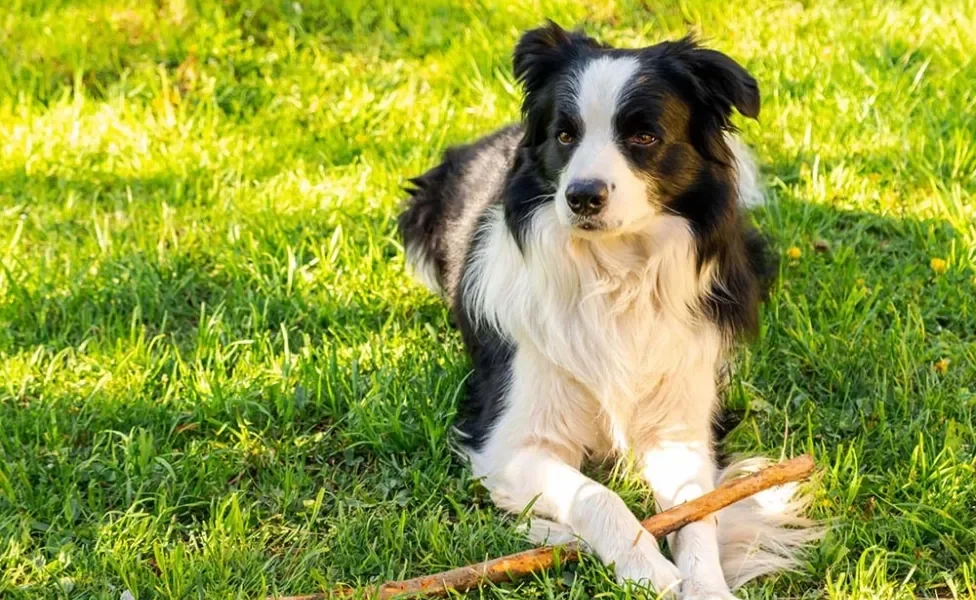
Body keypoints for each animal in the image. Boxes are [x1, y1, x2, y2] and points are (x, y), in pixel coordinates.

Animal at [396, 21, 816, 596]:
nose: (582, 196)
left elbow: (697, 511)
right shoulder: (510, 441)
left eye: (644, 136)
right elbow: (597, 495)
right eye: (564, 136)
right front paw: (648, 569)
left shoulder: (681, 426)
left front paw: (705, 583)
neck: (613, 276)